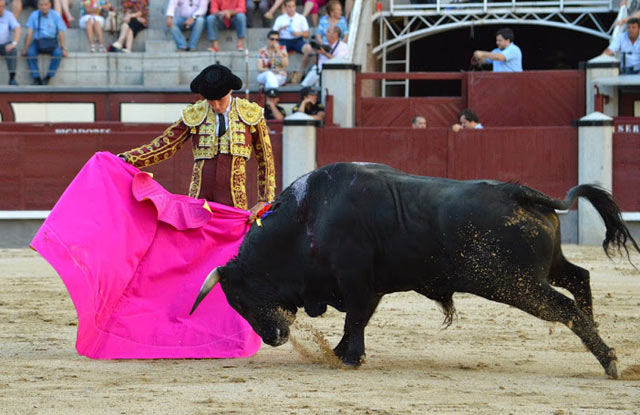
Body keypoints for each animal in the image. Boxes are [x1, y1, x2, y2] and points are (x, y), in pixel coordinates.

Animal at [189, 164, 636, 378]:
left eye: (241, 299)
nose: (274, 338)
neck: (308, 217)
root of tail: (520, 192)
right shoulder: (371, 286)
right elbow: (359, 321)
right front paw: (341, 353)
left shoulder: (355, 281)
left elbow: (355, 319)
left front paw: (349, 358)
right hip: (543, 271)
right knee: (580, 278)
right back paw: (604, 343)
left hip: (515, 284)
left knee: (565, 307)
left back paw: (609, 361)